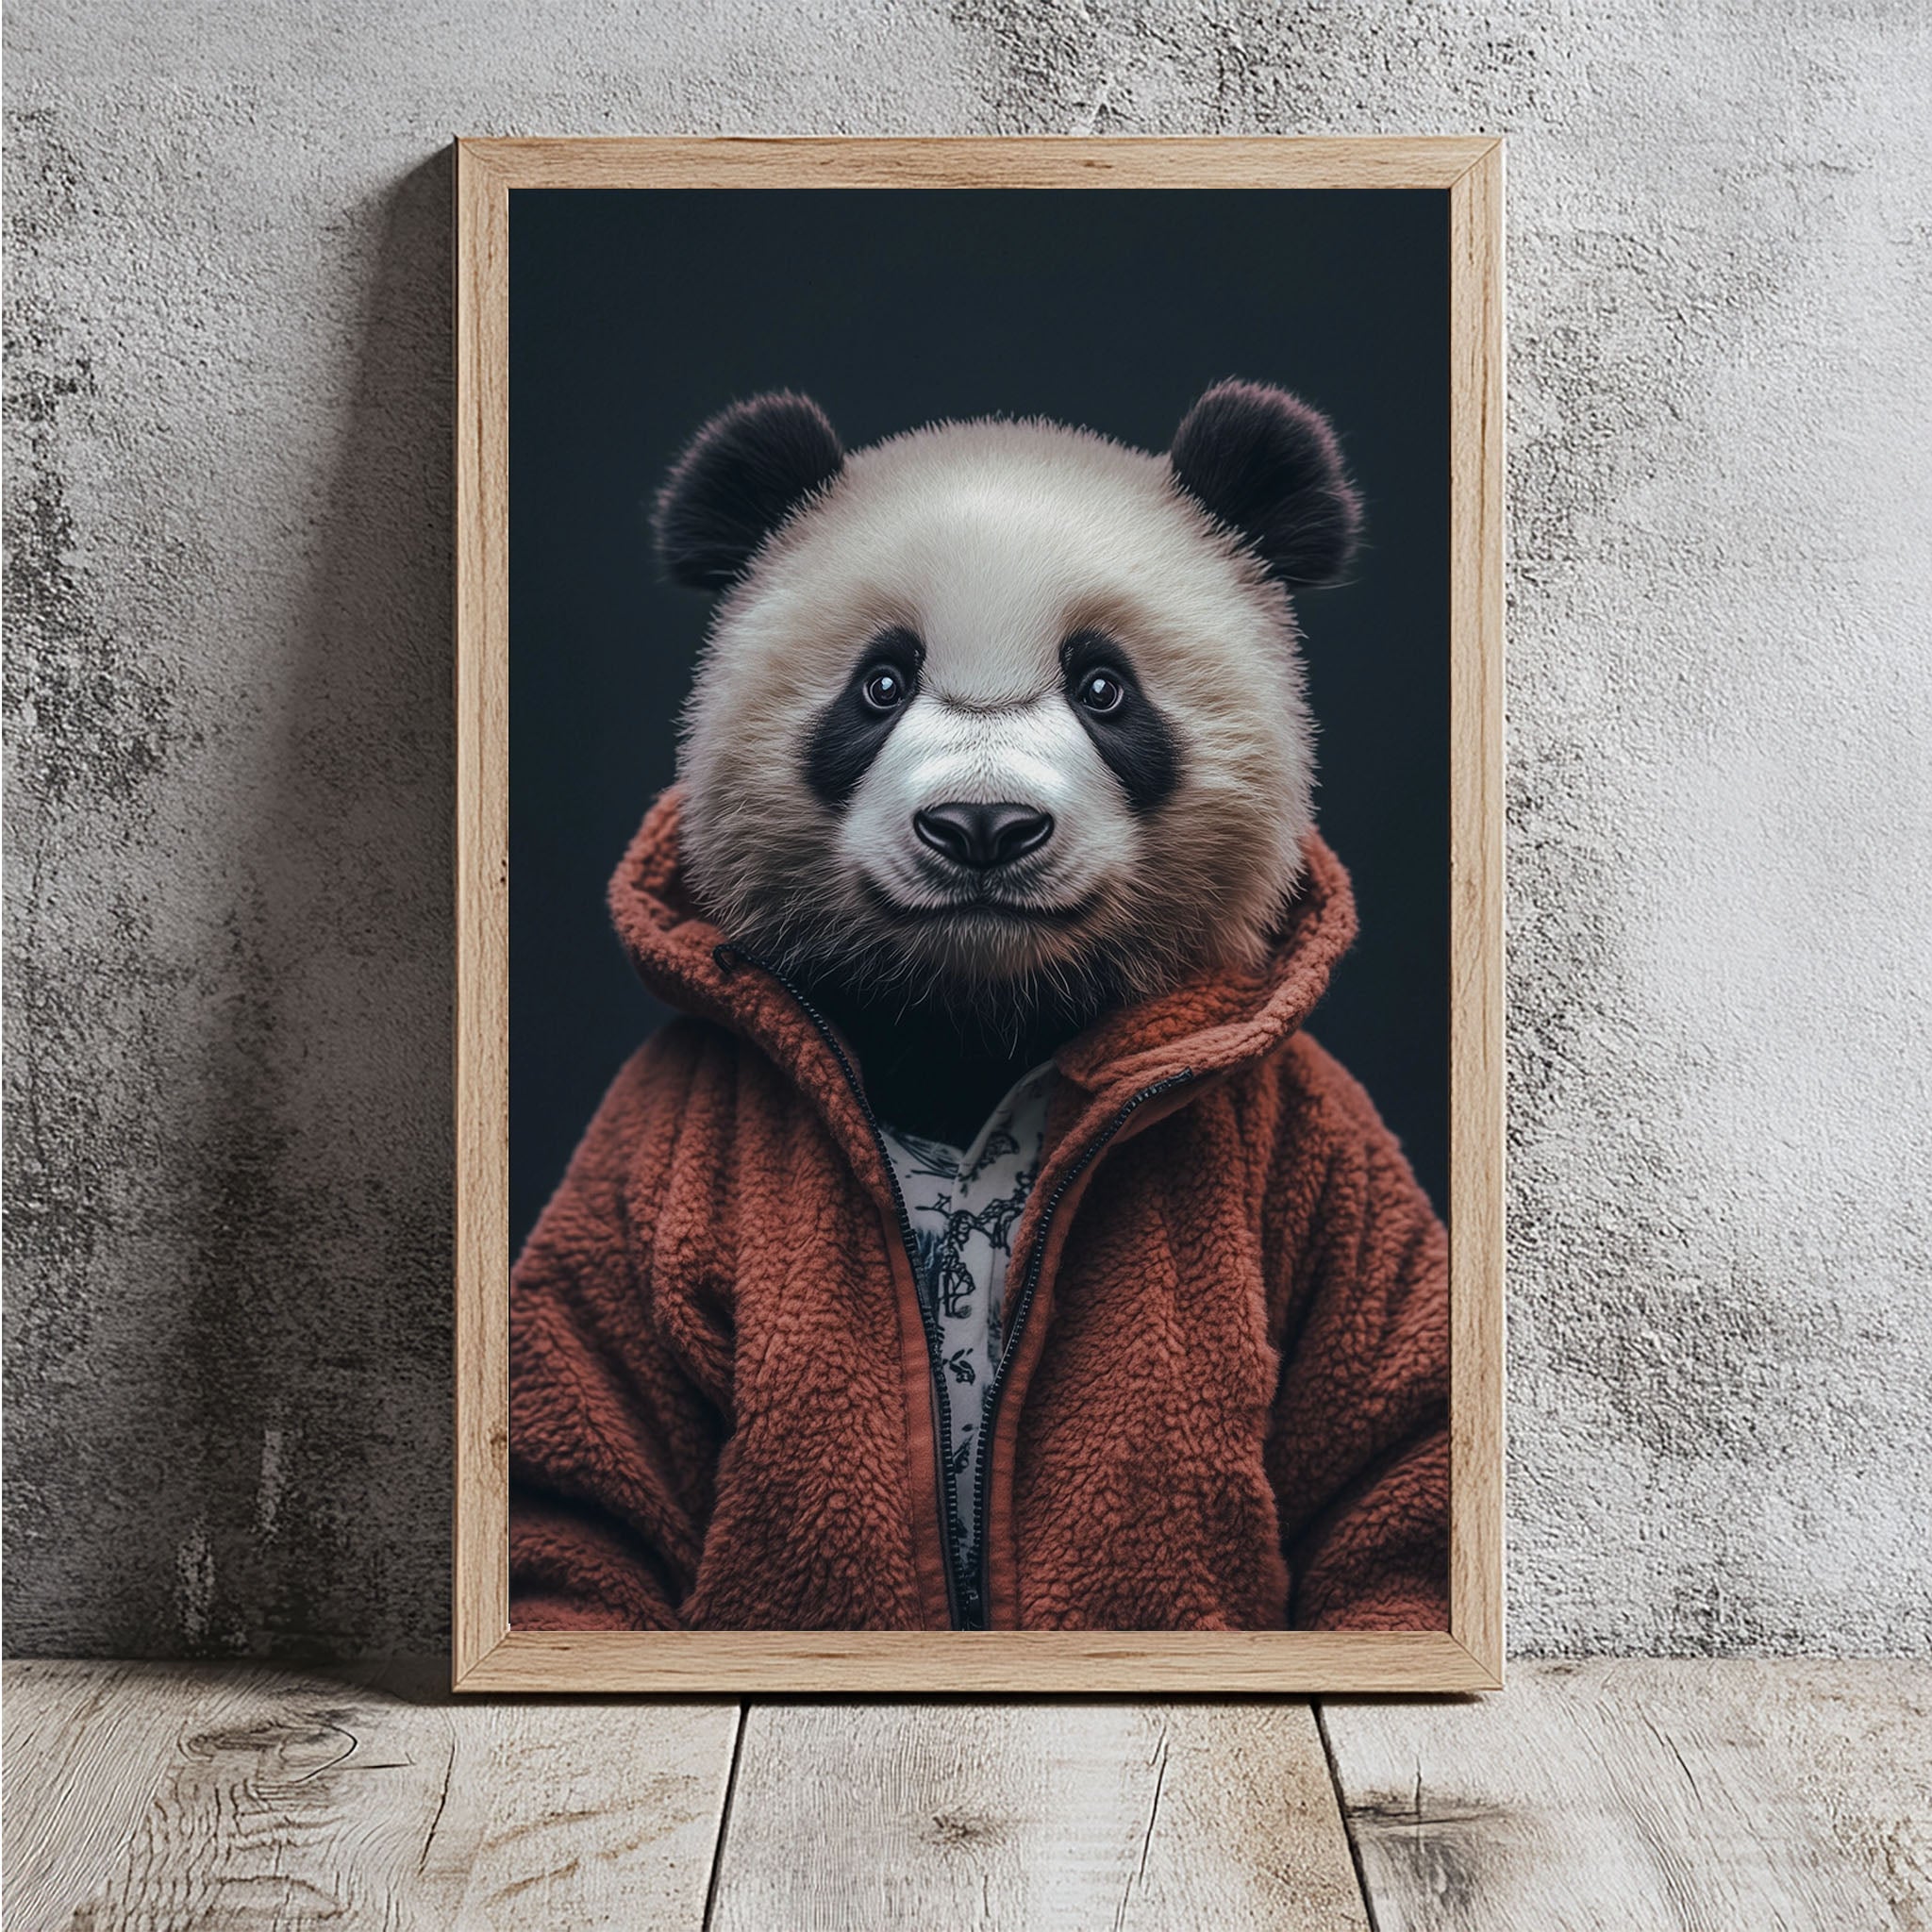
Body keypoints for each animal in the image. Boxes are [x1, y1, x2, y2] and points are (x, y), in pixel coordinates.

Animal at [508, 383, 1449, 1635]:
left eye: (1102, 686)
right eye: (881, 683)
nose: (982, 827)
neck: (972, 1009)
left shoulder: (1319, 1143)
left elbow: (1377, 1457)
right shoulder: (647, 1140)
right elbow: (591, 1479)